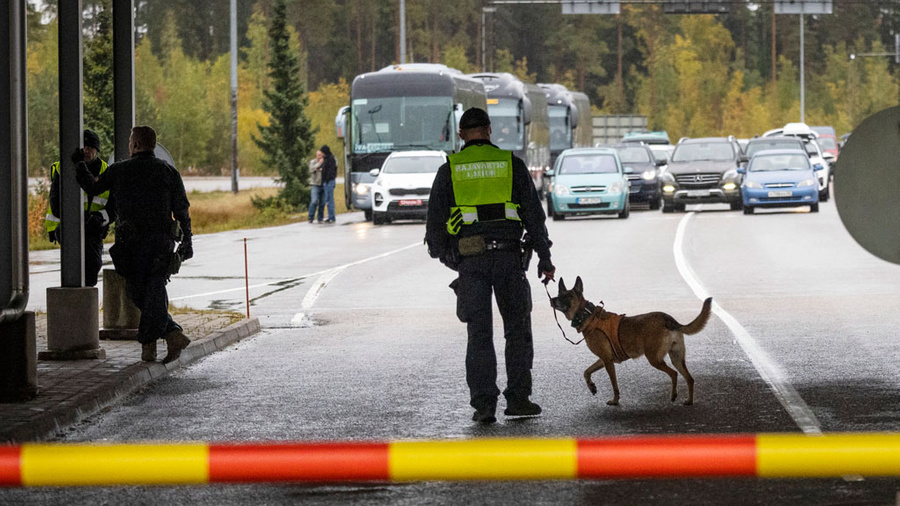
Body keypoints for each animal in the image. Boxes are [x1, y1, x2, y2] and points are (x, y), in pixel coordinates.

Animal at [552, 276, 712, 408]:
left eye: (568, 296)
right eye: (559, 294)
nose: (552, 299)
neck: (588, 315)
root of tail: (668, 319)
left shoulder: (607, 361)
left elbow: (614, 385)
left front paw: (615, 401)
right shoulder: (603, 359)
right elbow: (586, 372)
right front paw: (591, 386)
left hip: (654, 359)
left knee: (674, 374)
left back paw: (673, 395)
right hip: (677, 358)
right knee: (690, 379)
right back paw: (689, 401)